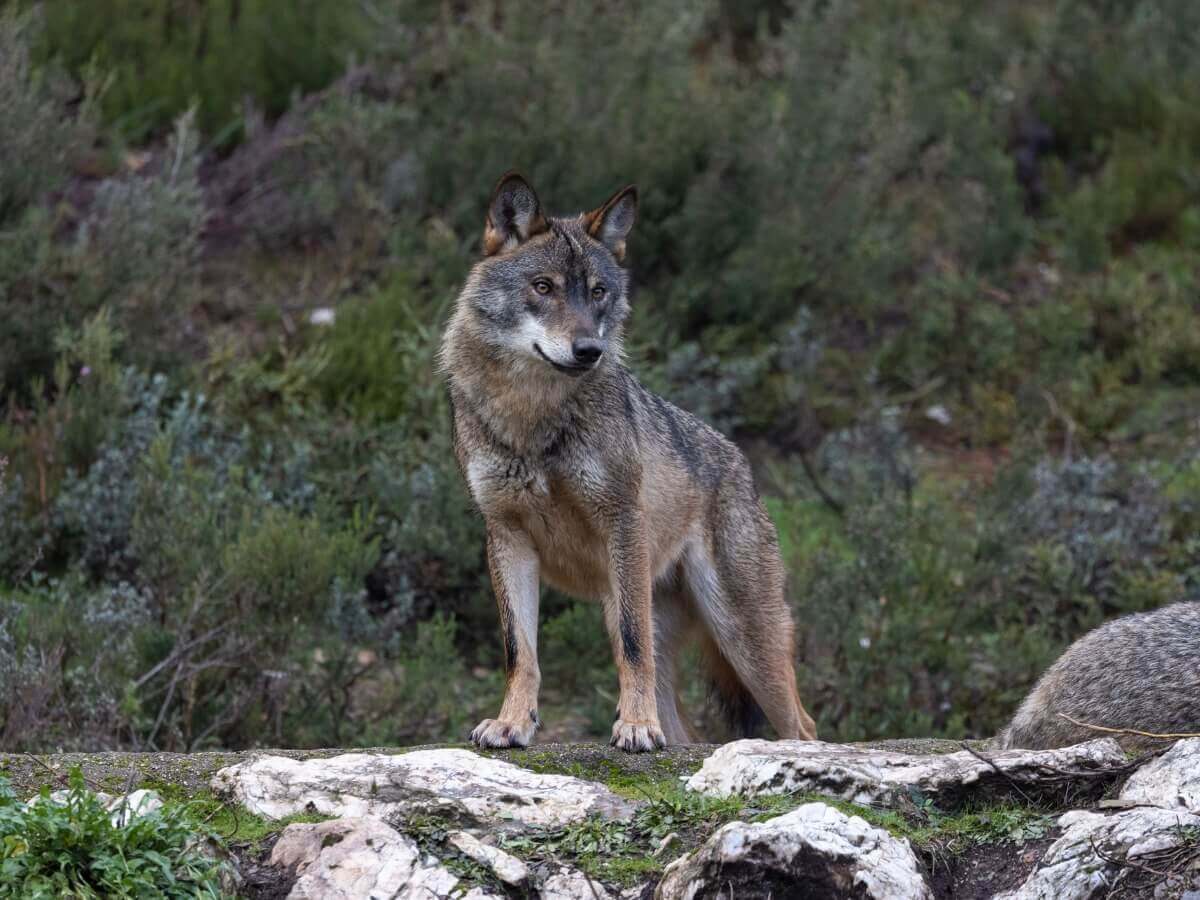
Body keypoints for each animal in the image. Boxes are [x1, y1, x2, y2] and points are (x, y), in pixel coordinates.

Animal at [438, 172, 818, 752]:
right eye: (543, 287)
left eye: (598, 292)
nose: (588, 350)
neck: (532, 417)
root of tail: (740, 461)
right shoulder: (506, 536)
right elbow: (519, 650)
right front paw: (511, 722)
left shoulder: (621, 524)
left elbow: (632, 648)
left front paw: (635, 726)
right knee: (684, 732)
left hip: (742, 638)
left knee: (803, 724)